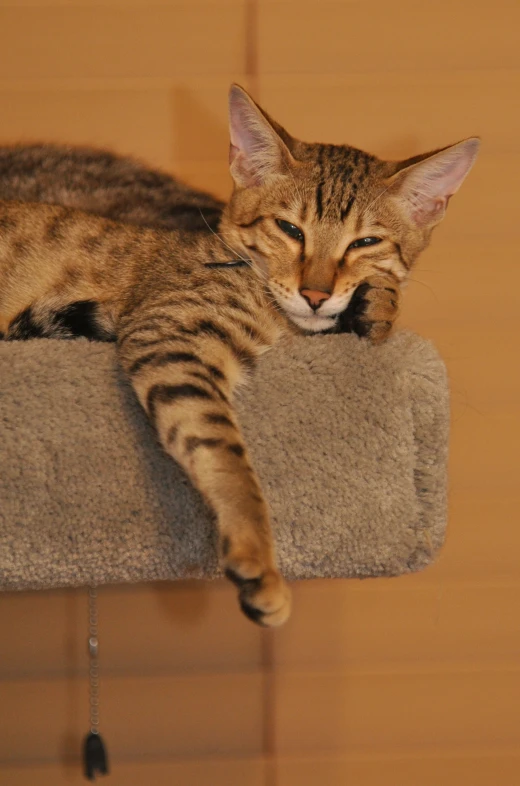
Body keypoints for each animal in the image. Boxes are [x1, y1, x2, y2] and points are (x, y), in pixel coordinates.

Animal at [0, 86, 480, 624]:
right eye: (290, 229)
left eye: (366, 241)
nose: (316, 294)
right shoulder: (171, 335)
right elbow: (226, 455)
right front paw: (257, 557)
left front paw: (374, 305)